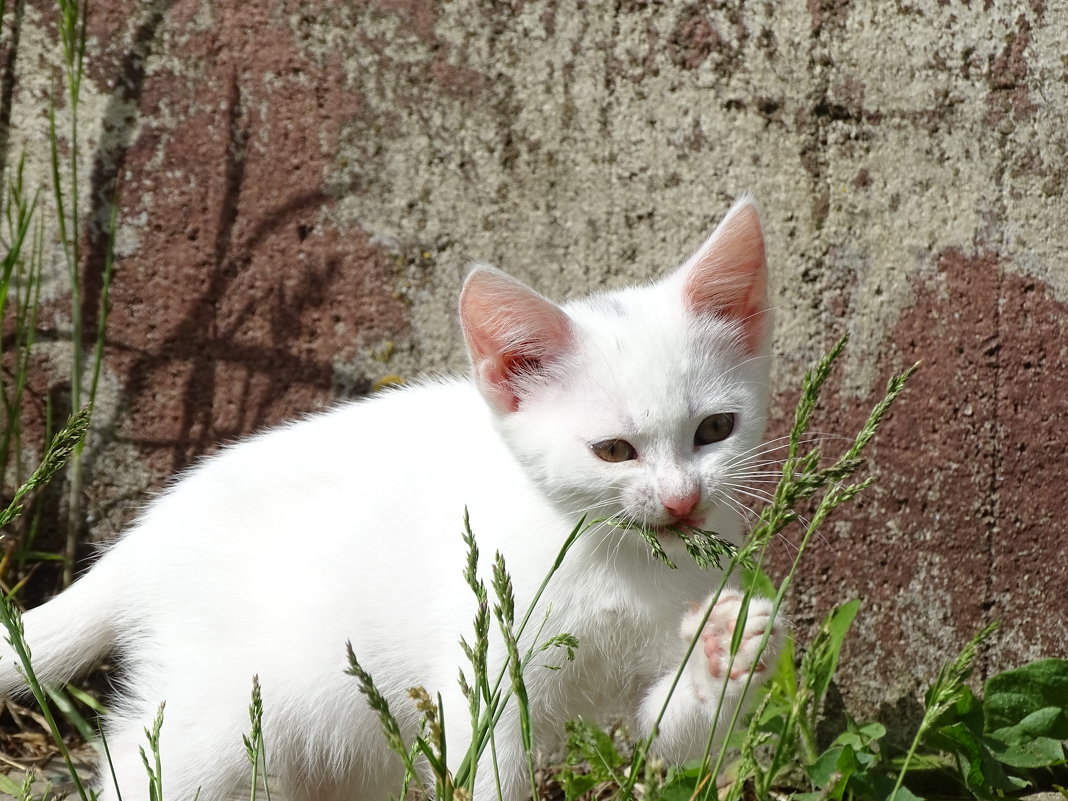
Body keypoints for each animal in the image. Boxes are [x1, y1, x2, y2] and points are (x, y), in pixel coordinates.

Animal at [0, 197, 786, 798]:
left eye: (715, 430)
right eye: (615, 451)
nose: (683, 501)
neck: (620, 558)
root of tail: (148, 531)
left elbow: (673, 737)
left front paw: (728, 648)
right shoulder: (486, 658)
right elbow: (490, 765)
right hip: (222, 704)